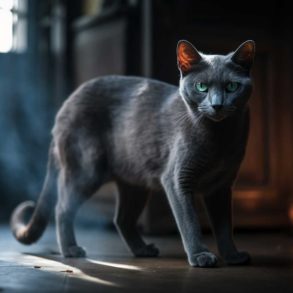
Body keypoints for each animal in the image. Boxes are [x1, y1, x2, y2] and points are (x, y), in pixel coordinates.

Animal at [10, 39, 253, 266]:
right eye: (201, 86)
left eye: (232, 86)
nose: (217, 105)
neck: (219, 139)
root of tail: (64, 105)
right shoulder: (177, 180)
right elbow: (190, 222)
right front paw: (201, 256)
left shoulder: (222, 187)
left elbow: (224, 226)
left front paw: (232, 256)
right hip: (86, 170)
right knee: (62, 207)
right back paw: (71, 249)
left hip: (135, 181)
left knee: (122, 218)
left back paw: (142, 249)